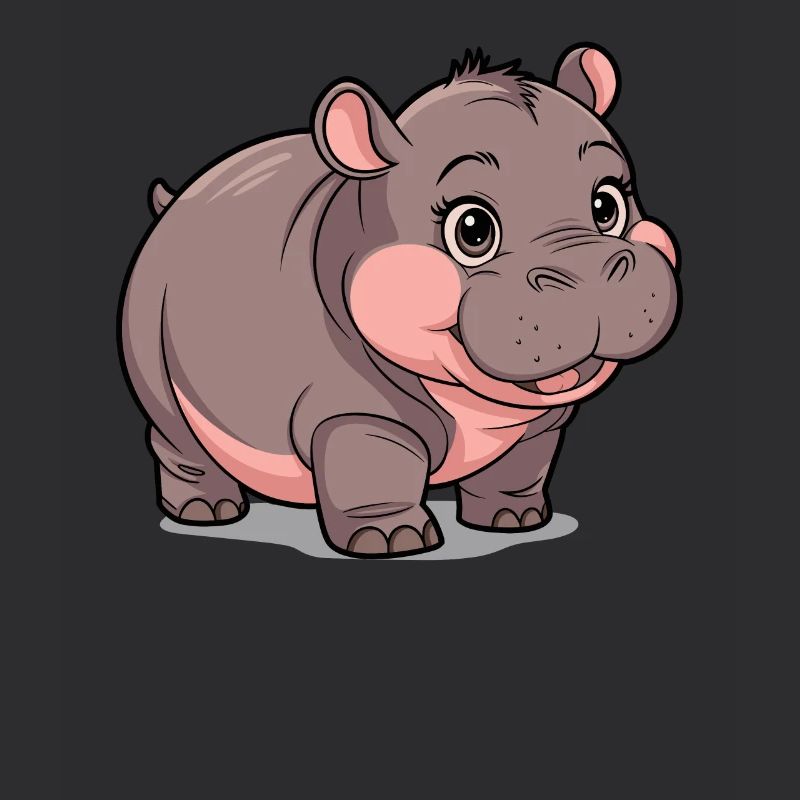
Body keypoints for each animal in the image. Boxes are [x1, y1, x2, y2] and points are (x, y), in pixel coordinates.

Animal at [119, 45, 680, 558]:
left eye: (607, 204)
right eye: (472, 229)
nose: (592, 275)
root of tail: (176, 201)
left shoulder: (541, 422)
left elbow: (521, 466)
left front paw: (514, 521)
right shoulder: (355, 411)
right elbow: (377, 468)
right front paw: (393, 541)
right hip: (147, 329)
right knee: (173, 430)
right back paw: (206, 513)